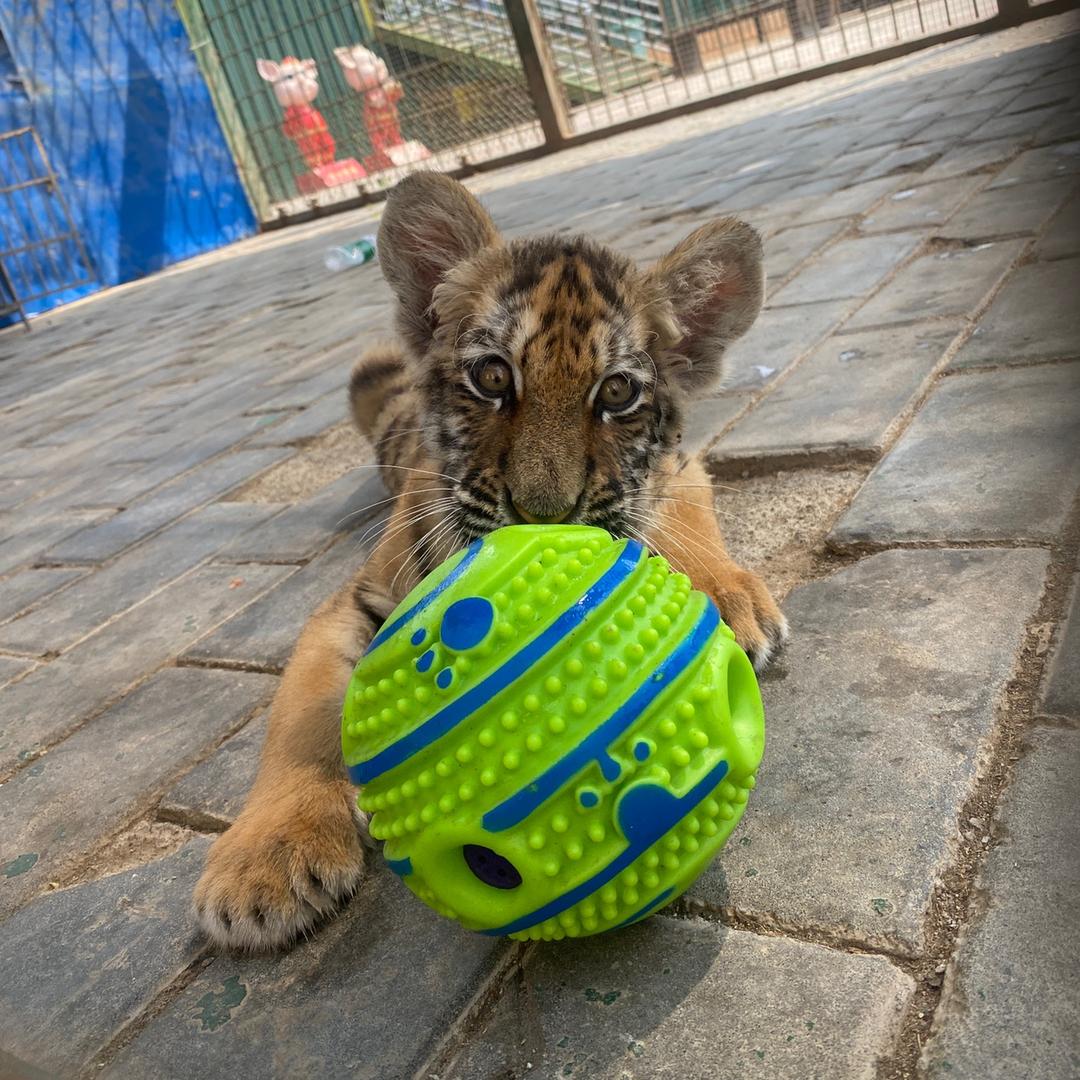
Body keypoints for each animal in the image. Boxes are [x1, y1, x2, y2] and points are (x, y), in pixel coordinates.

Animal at [193, 171, 787, 951]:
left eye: (618, 392)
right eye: (493, 377)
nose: (543, 513)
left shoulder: (680, 467)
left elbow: (679, 513)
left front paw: (728, 597)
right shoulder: (351, 604)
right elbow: (304, 721)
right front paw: (265, 862)